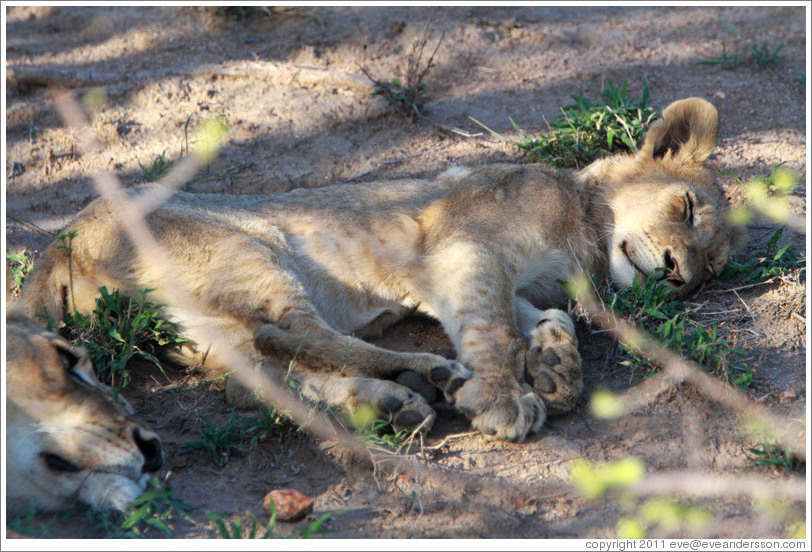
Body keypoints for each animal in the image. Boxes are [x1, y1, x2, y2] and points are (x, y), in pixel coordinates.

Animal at [20, 97, 742, 443]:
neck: (584, 230)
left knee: (257, 377)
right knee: (291, 335)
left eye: (713, 270)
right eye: (685, 208)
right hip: (252, 250)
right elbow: (493, 331)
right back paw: (424, 377)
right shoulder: (462, 246)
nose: (679, 276)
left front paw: (558, 367)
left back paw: (392, 402)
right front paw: (504, 396)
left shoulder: (502, 276)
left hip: (202, 325)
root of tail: (59, 242)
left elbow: (544, 316)